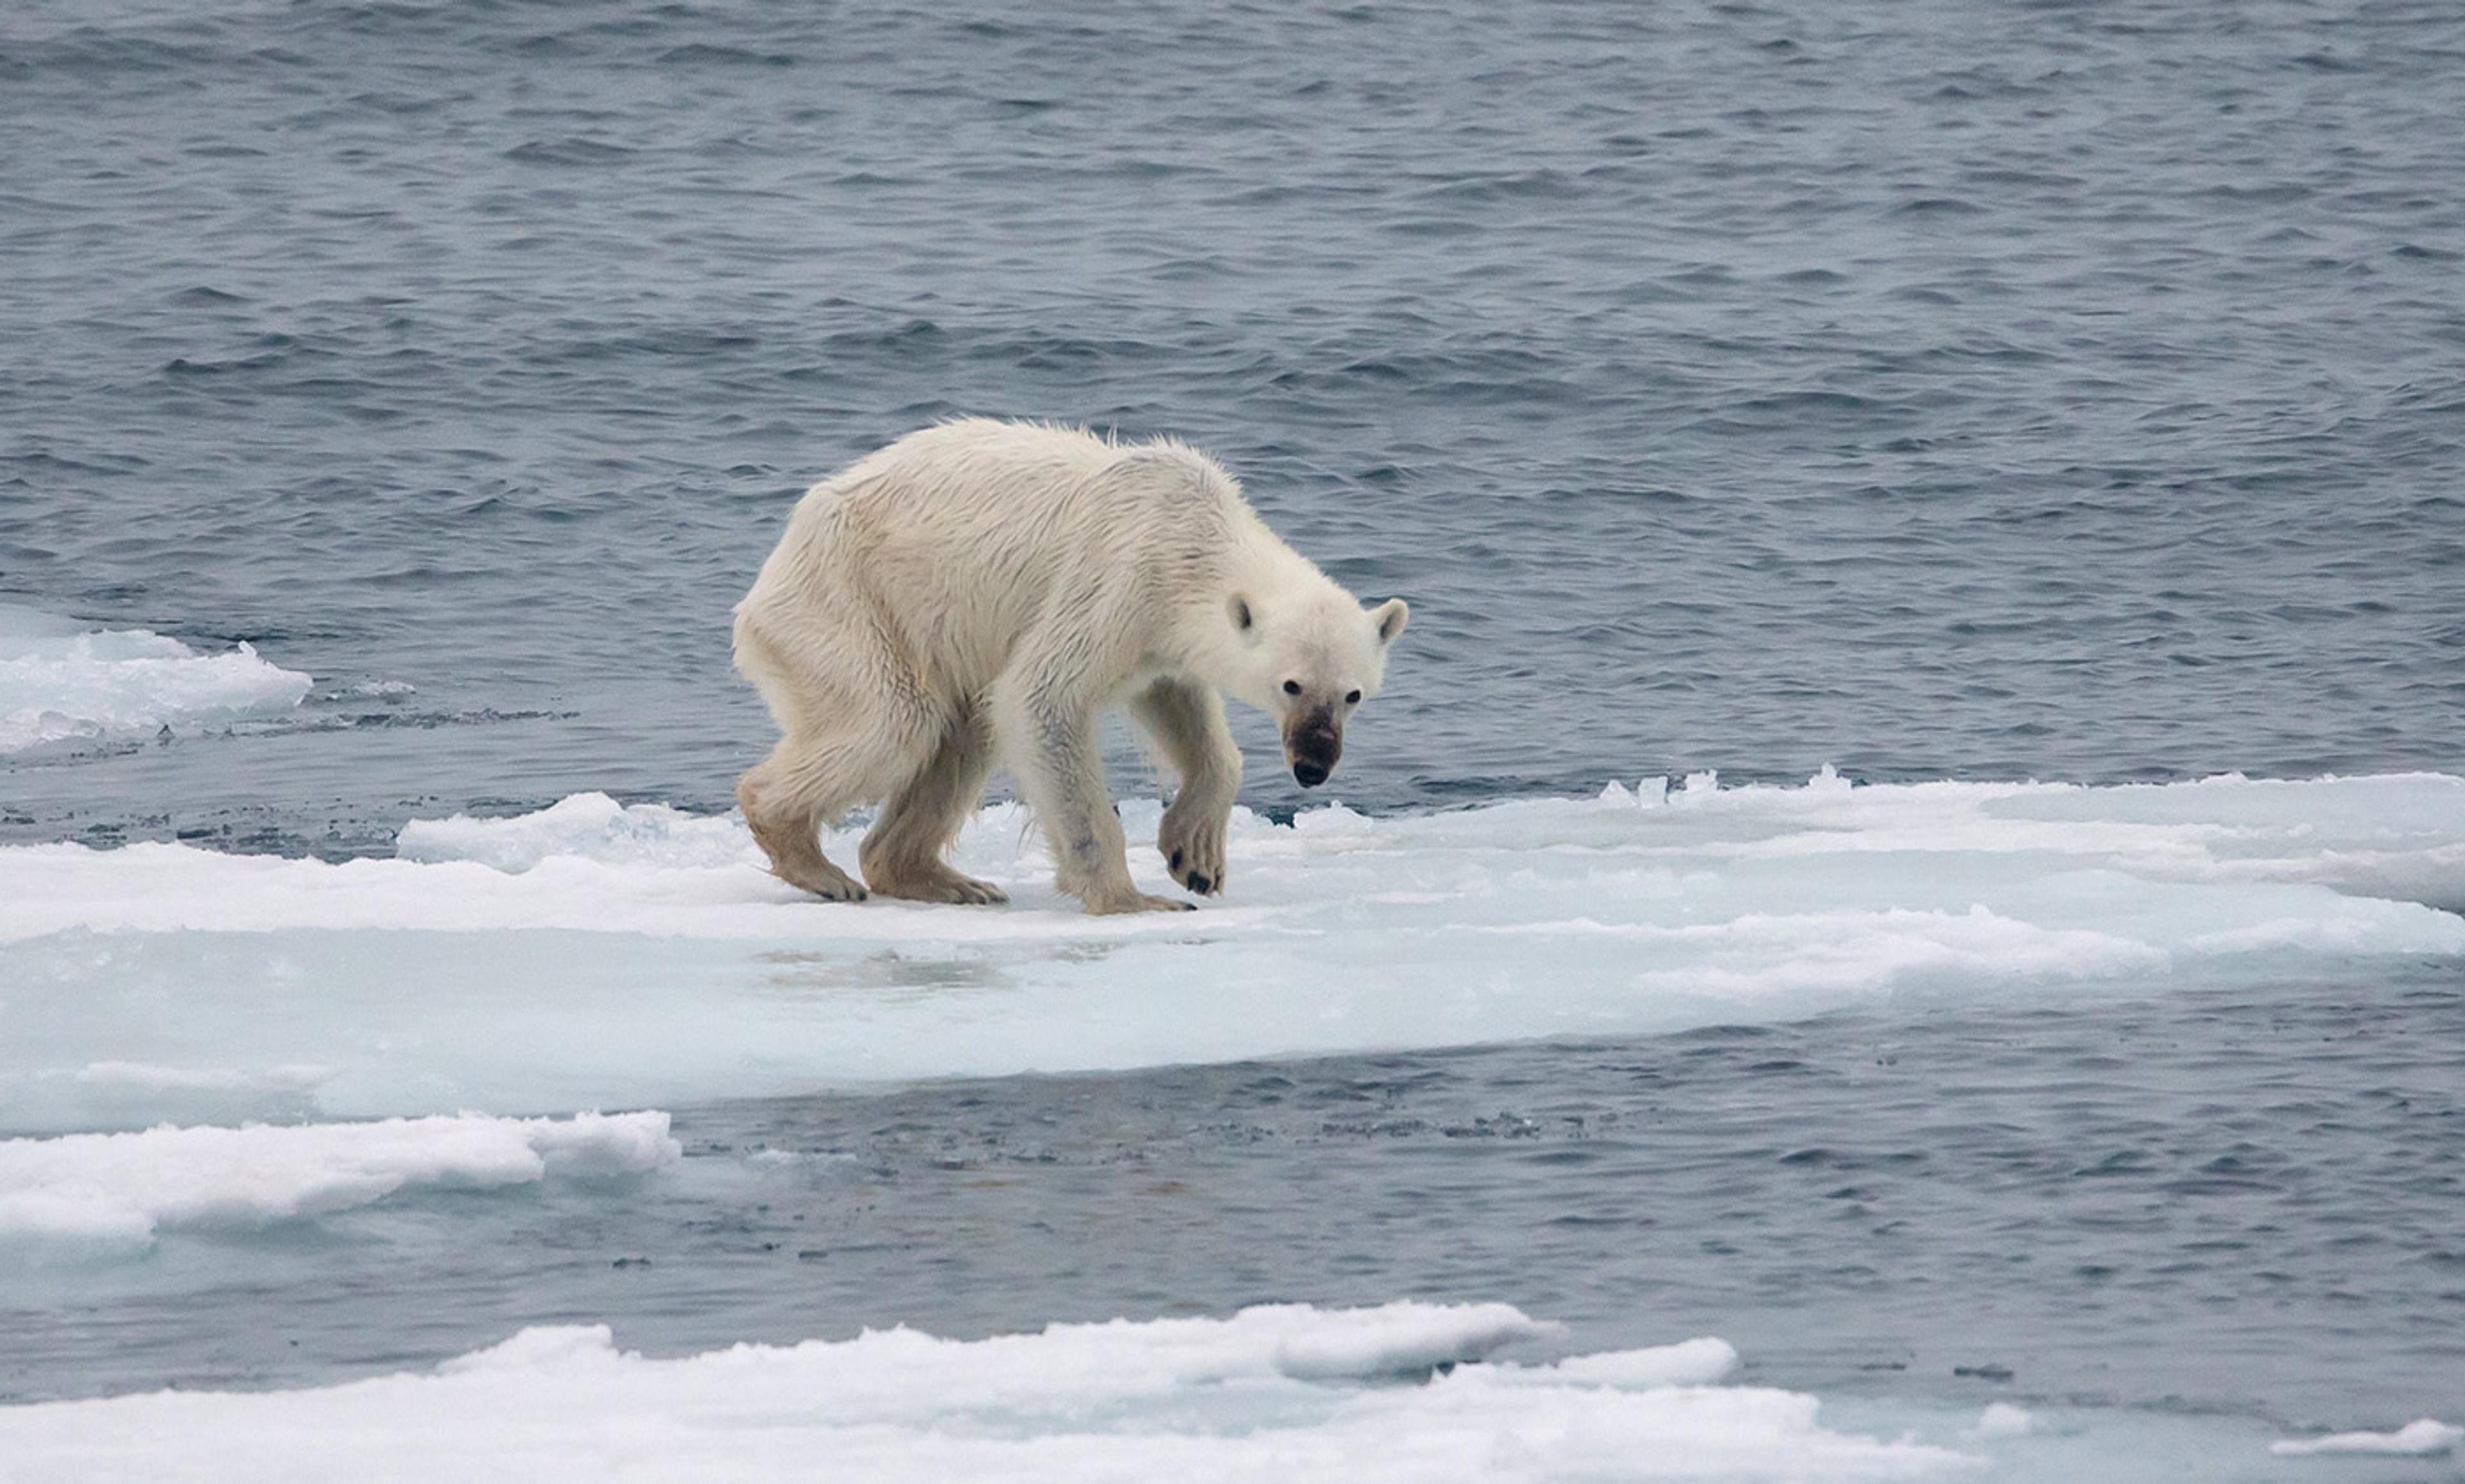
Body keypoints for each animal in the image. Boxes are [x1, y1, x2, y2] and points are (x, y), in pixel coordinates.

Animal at [729, 409, 1410, 907]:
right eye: (1291, 685)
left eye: (1353, 694)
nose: (1313, 766)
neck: (1193, 535)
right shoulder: (1117, 577)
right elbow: (1042, 698)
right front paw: (1134, 899)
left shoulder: (1157, 634)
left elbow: (1179, 705)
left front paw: (1195, 856)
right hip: (850, 604)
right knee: (895, 721)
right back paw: (816, 863)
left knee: (962, 732)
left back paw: (946, 881)